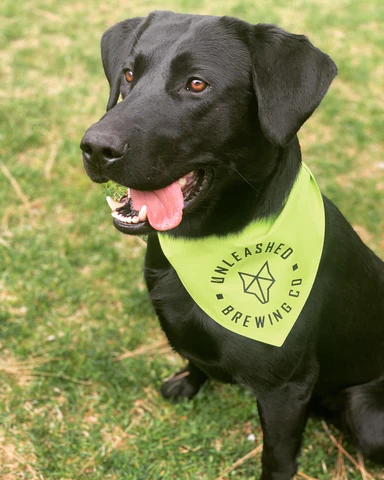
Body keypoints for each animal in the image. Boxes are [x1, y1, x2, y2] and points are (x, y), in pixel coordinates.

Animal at [79, 11, 382, 480]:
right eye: (128, 74)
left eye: (197, 84)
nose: (95, 147)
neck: (207, 243)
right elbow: (192, 356)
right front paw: (188, 381)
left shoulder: (285, 389)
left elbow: (277, 455)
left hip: (369, 417)